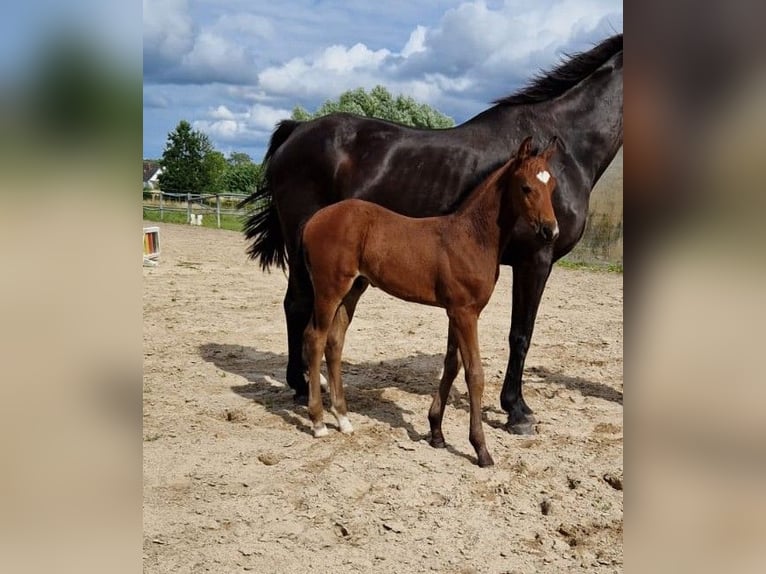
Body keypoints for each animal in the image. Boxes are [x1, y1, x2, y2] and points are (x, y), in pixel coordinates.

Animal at [300, 136, 560, 468]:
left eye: (552, 186)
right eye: (526, 187)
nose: (551, 231)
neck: (472, 236)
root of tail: (314, 220)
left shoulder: (456, 311)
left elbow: (451, 365)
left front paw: (436, 433)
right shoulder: (465, 313)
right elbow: (474, 374)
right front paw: (481, 449)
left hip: (353, 290)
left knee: (334, 342)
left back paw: (343, 419)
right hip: (329, 289)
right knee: (315, 338)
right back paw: (318, 422)